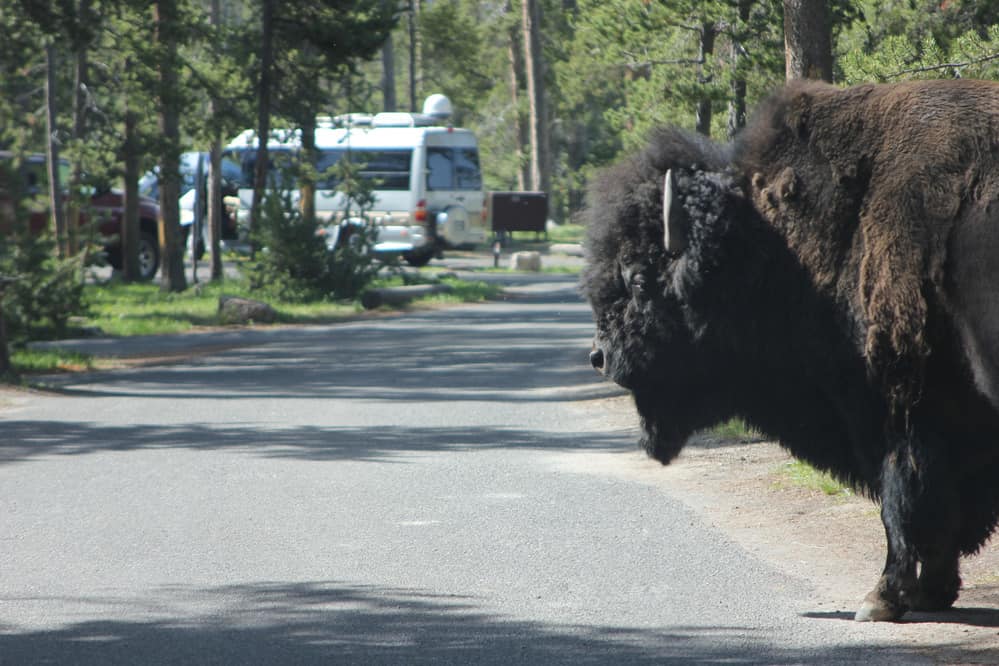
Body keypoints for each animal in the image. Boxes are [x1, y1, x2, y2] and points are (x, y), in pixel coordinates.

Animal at [584, 79, 999, 624]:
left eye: (636, 277)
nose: (599, 355)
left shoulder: (897, 415)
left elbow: (903, 505)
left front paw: (881, 599)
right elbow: (936, 511)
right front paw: (931, 593)